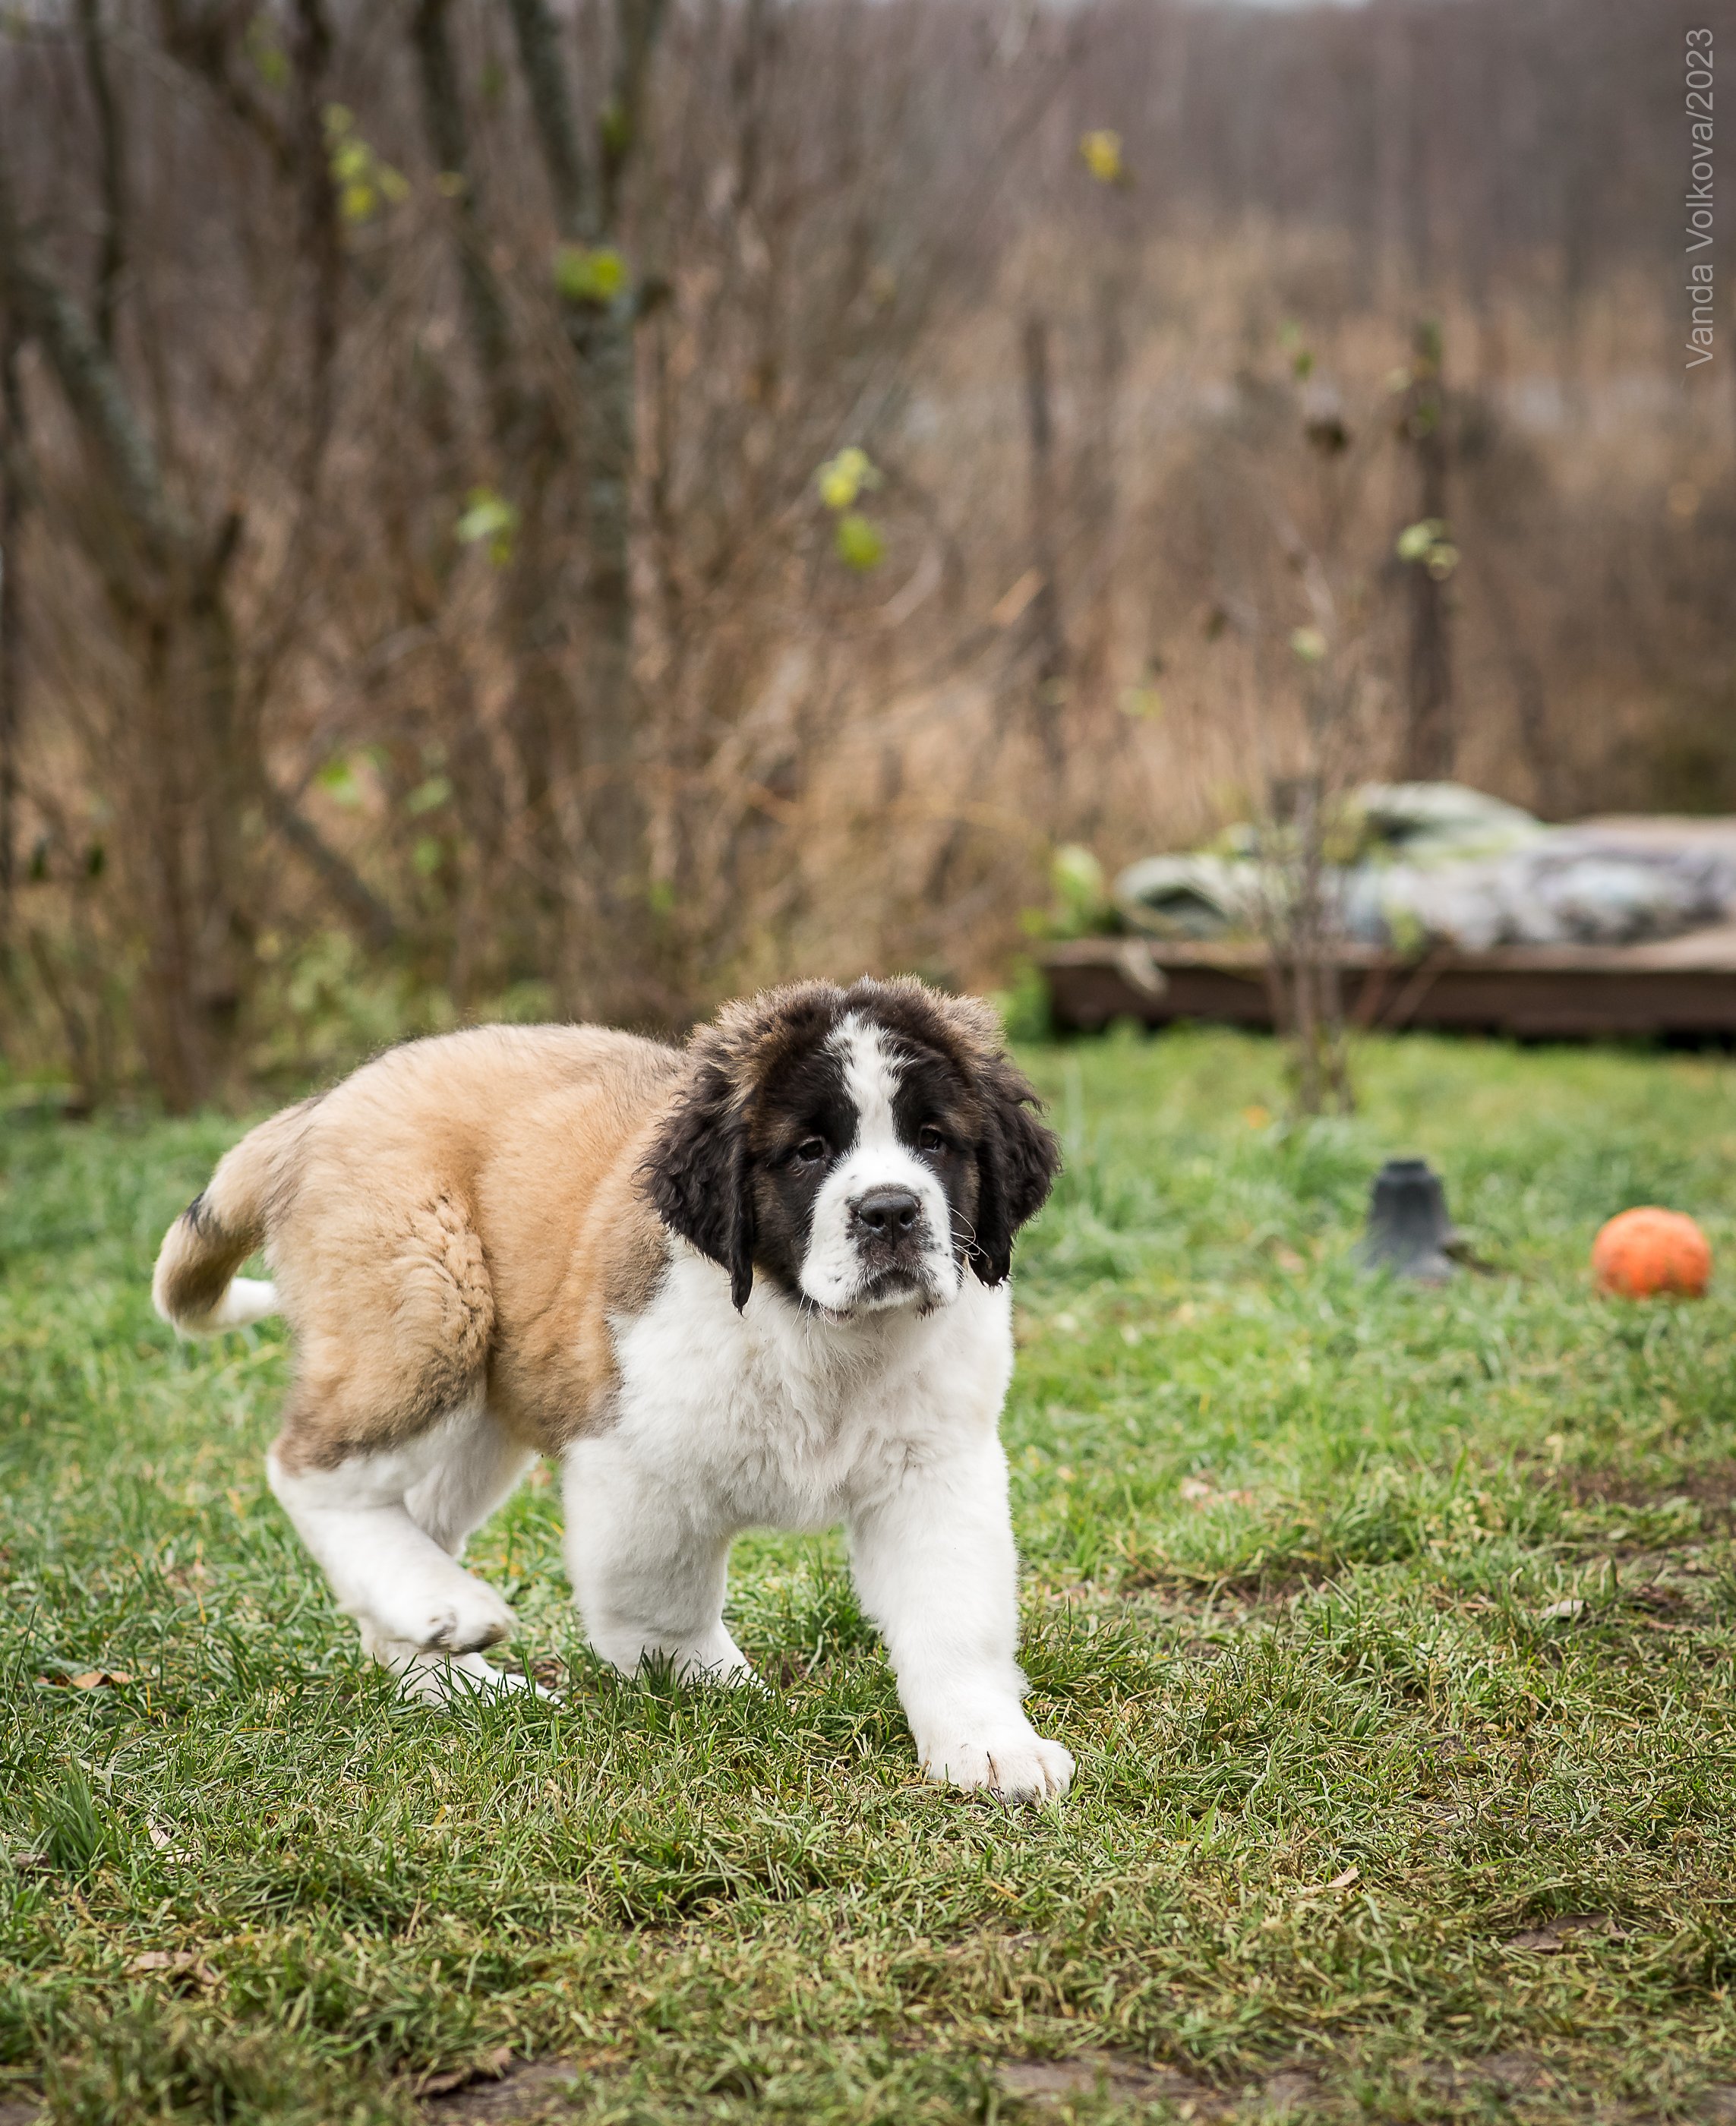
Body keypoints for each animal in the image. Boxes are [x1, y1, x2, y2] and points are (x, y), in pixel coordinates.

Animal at [151, 977, 1072, 1800]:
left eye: (935, 1141)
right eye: (811, 1152)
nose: (890, 1212)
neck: (817, 1331)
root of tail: (323, 1106)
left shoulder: (935, 1466)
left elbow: (953, 1615)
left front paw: (989, 1746)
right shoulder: (636, 1459)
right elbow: (661, 1601)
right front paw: (716, 1685)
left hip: (483, 1403)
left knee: (411, 1512)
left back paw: (448, 1669)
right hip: (427, 1304)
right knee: (307, 1466)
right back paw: (444, 1604)